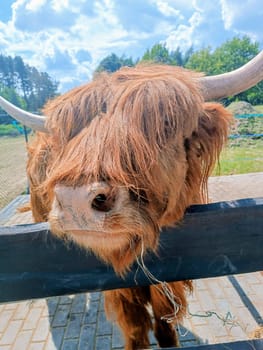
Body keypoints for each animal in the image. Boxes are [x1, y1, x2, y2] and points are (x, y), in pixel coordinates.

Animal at [0, 52, 262, 350]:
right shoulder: (120, 289)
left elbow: (164, 325)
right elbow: (136, 329)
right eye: (69, 134)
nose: (75, 201)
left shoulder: (167, 283)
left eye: (166, 123)